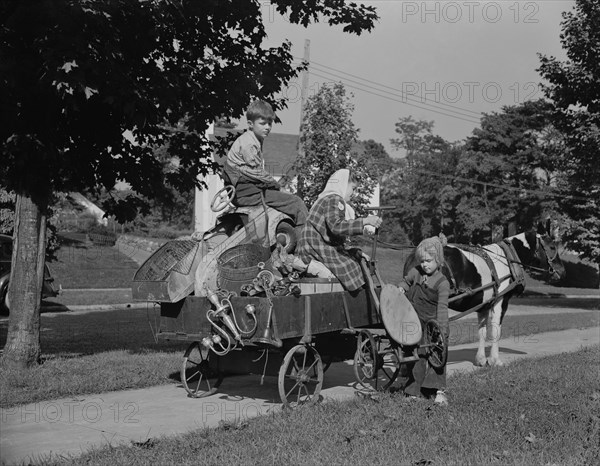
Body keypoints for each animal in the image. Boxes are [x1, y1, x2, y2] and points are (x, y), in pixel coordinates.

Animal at [404, 223, 568, 368]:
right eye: (552, 247)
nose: (563, 271)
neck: (508, 258)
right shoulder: (501, 301)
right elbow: (495, 330)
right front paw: (495, 360)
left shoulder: (483, 304)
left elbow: (482, 331)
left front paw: (481, 359)